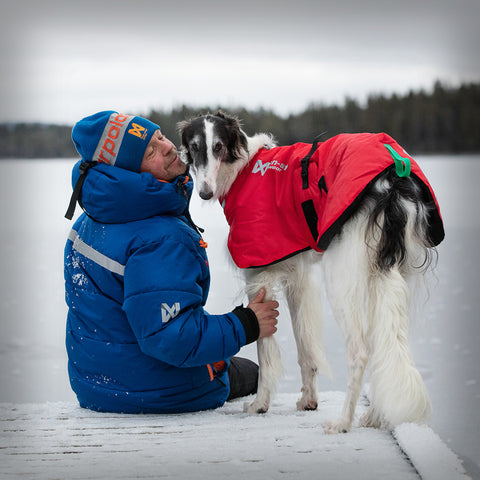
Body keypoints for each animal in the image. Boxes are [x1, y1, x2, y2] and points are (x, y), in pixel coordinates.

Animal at [178, 110, 444, 434]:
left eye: (218, 147)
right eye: (194, 147)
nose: (204, 193)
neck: (243, 168)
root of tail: (394, 182)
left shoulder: (259, 274)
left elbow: (265, 347)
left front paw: (260, 404)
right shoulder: (299, 274)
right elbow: (306, 347)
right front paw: (308, 400)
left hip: (343, 275)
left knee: (361, 351)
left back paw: (343, 422)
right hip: (388, 271)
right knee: (387, 342)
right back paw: (373, 416)